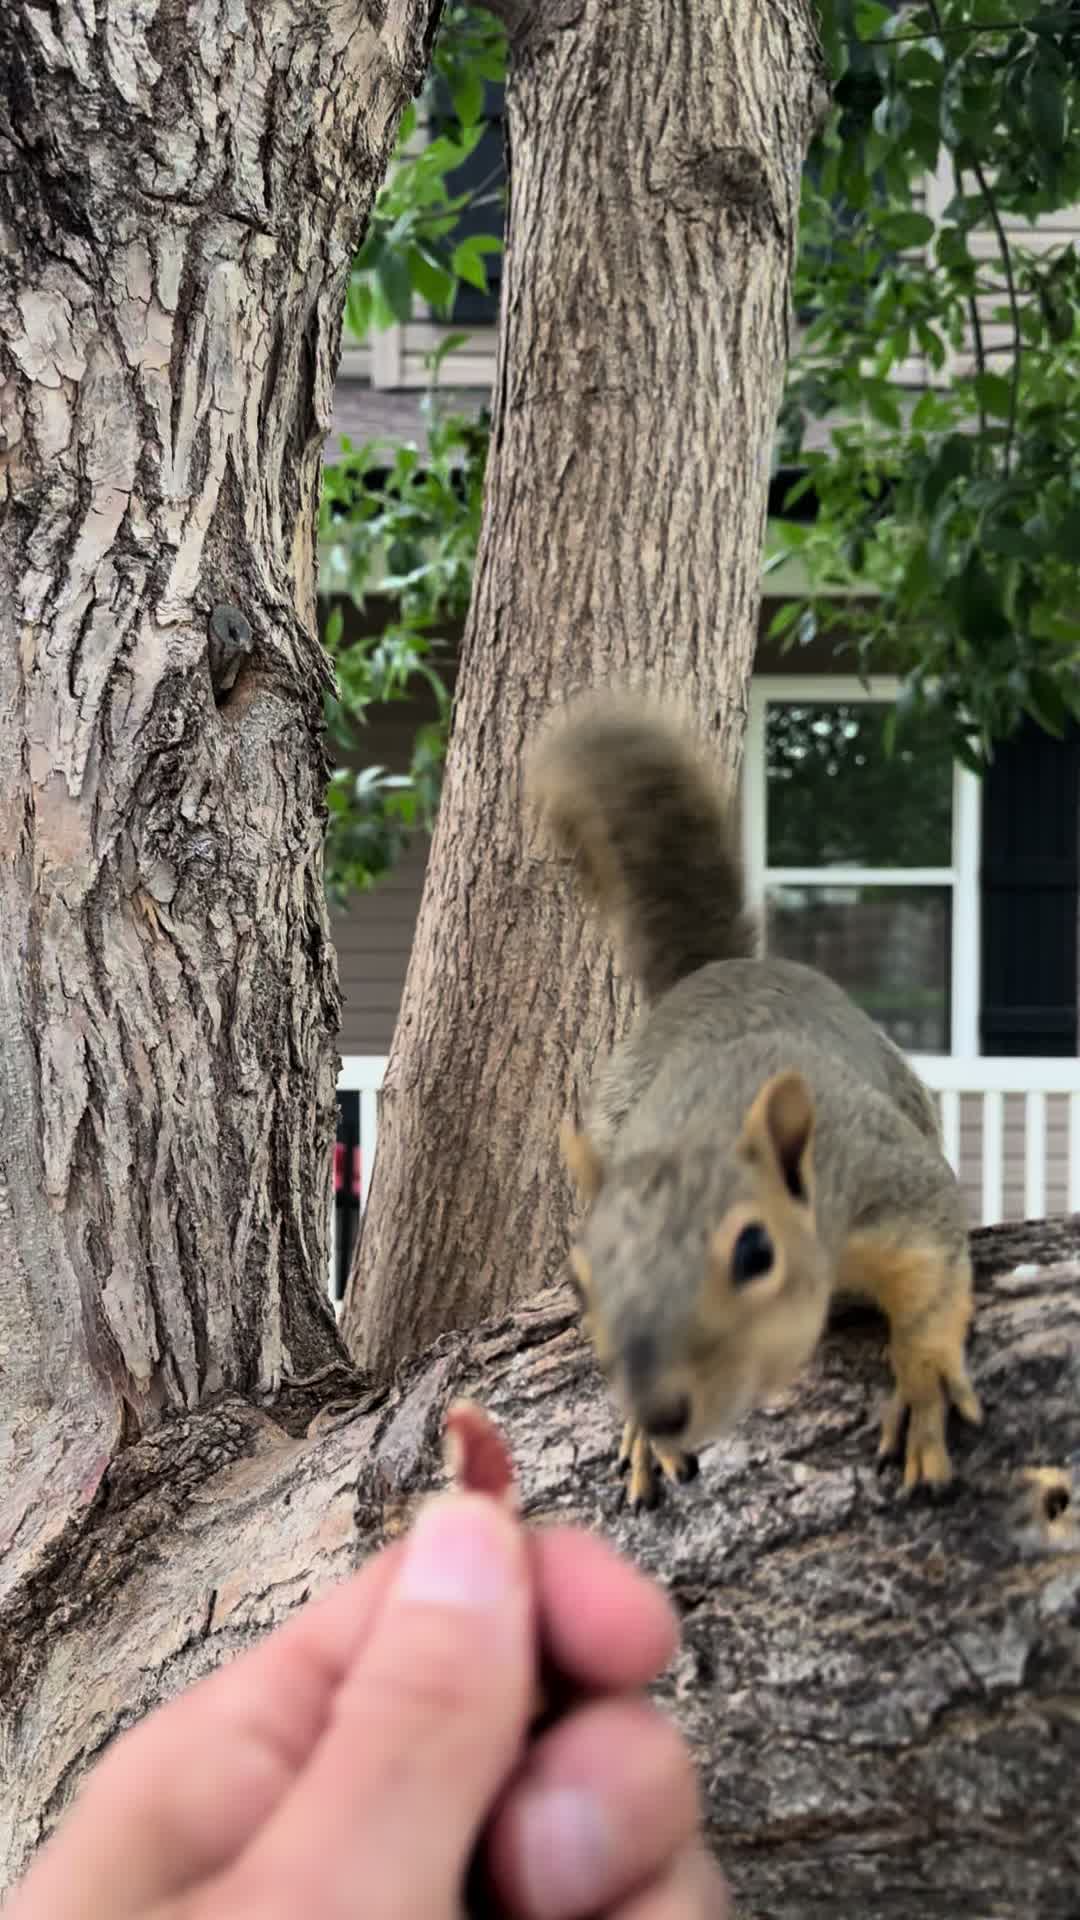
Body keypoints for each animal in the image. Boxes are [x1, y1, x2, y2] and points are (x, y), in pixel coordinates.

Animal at [525, 691, 983, 1512]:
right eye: (582, 1280)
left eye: (755, 1252)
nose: (658, 1408)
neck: (708, 1116)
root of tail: (718, 970)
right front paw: (639, 1437)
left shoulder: (887, 1177)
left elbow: (935, 1271)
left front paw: (926, 1380)